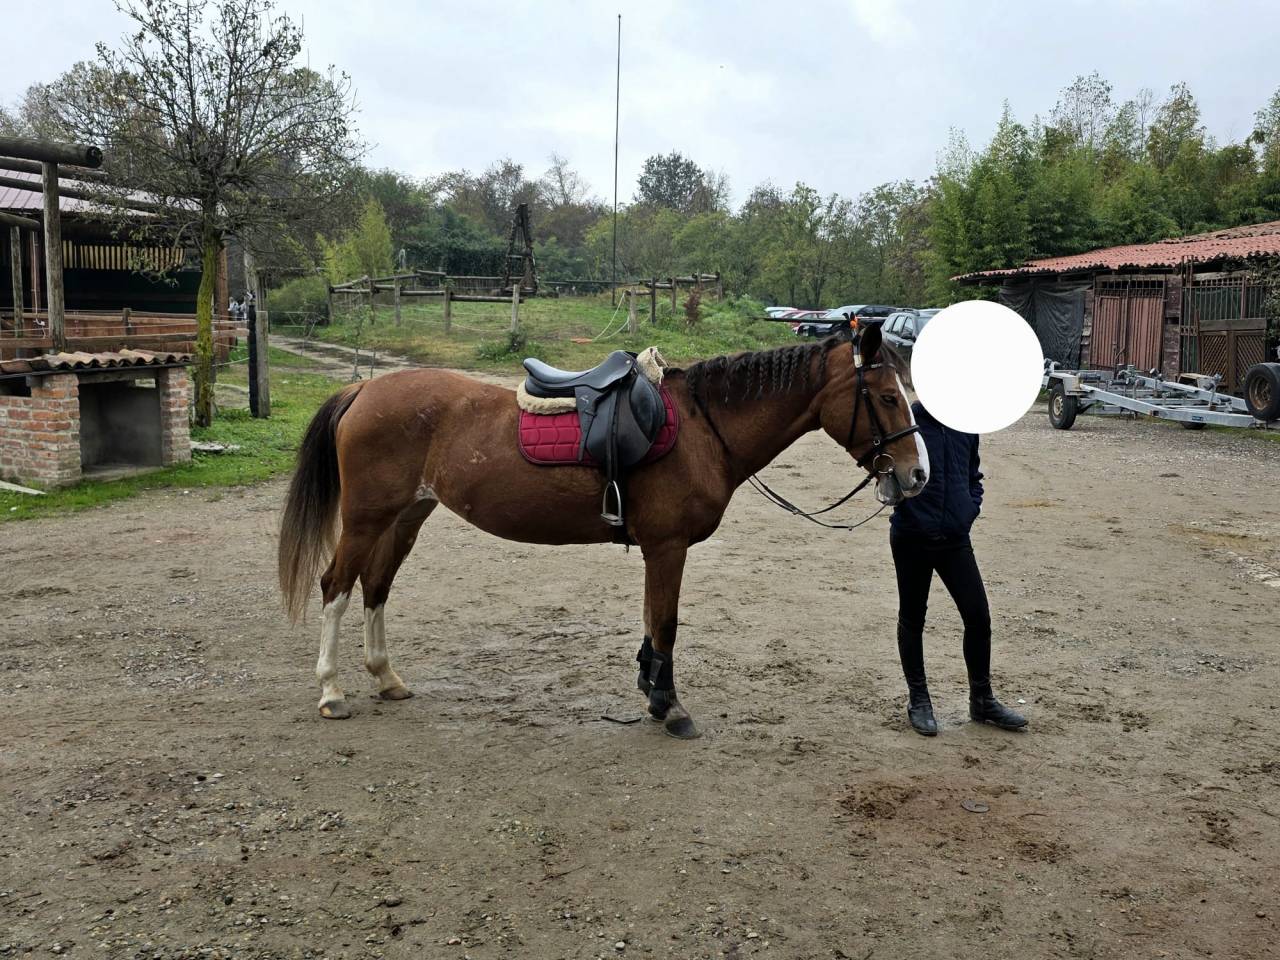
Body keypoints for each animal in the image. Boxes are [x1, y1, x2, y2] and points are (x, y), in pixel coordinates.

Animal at [278, 325, 928, 738]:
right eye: (888, 397)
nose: (917, 474)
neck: (702, 428)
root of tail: (365, 387)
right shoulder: (668, 548)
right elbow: (666, 623)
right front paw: (670, 707)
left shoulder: (657, 550)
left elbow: (650, 621)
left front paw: (649, 687)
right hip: (367, 517)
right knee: (336, 586)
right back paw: (331, 691)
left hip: (406, 516)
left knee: (375, 586)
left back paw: (386, 678)